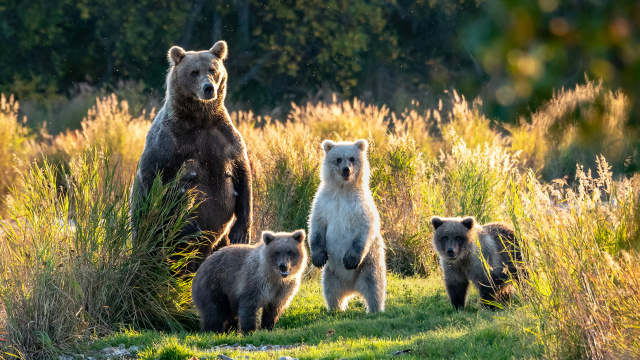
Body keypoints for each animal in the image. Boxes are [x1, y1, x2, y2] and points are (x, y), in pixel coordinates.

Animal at [132, 40, 252, 272]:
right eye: (194, 72)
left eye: (213, 69)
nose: (208, 88)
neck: (201, 119)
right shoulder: (169, 142)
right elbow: (157, 177)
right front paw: (188, 224)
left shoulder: (226, 139)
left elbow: (243, 175)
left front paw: (241, 232)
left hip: (218, 242)